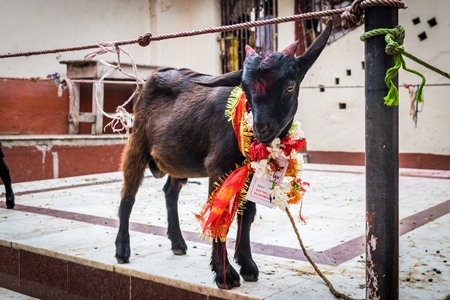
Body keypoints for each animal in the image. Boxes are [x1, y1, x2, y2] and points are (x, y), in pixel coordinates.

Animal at [116, 21, 332, 288]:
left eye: (289, 86)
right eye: (245, 89)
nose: (261, 127)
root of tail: (150, 78)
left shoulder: (248, 171)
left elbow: (246, 215)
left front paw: (247, 264)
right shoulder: (218, 167)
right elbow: (219, 217)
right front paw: (224, 273)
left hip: (178, 158)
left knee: (170, 192)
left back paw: (177, 243)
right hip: (137, 141)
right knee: (128, 195)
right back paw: (122, 250)